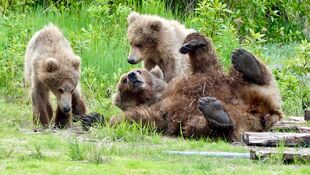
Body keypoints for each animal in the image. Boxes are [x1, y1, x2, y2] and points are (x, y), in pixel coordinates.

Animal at [111, 32, 284, 141]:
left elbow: (205, 64)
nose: (132, 75)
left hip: (241, 86)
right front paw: (108, 119)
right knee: (201, 125)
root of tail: (264, 114)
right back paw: (215, 112)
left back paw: (246, 61)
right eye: (123, 80)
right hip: (241, 120)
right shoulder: (156, 111)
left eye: (139, 70)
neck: (154, 96)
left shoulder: (191, 79)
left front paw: (194, 42)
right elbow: (133, 119)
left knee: (254, 77)